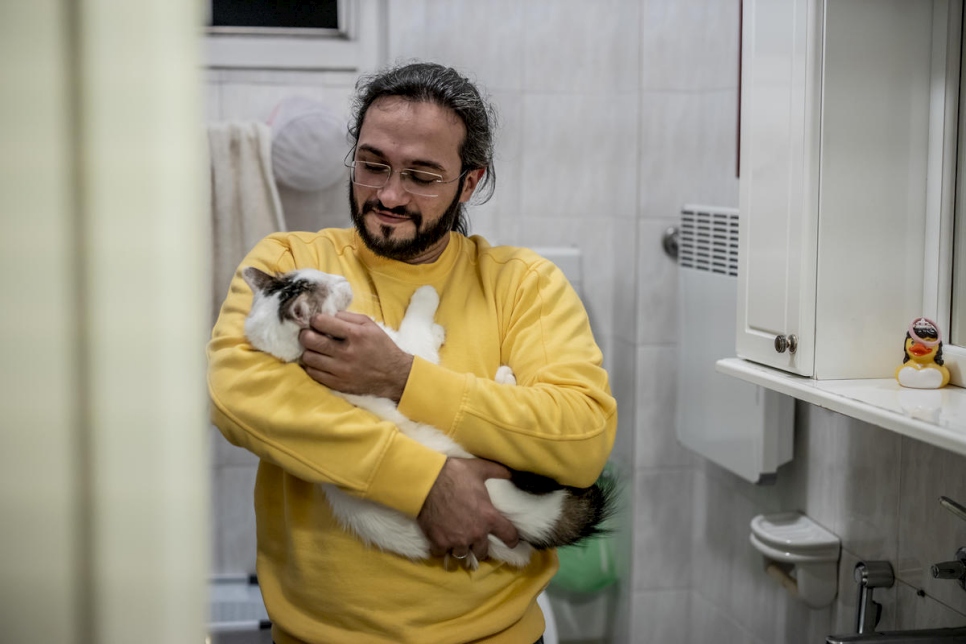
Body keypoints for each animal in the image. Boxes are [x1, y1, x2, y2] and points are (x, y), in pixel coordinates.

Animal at [241, 266, 612, 568]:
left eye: (316, 273)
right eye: (327, 290)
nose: (339, 278)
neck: (301, 359)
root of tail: (524, 515)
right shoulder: (410, 353)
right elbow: (417, 327)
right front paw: (427, 298)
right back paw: (505, 378)